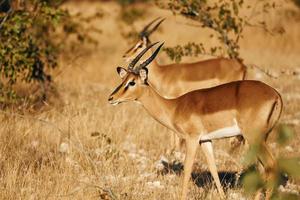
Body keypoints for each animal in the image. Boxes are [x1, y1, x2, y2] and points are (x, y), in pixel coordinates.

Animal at [109, 43, 282, 199]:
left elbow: (187, 169)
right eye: (123, 80)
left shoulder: (191, 139)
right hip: (261, 138)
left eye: (132, 82)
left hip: (254, 137)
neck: (174, 107)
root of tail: (276, 95)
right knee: (263, 168)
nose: (111, 98)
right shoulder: (205, 140)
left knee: (271, 165)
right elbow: (213, 168)